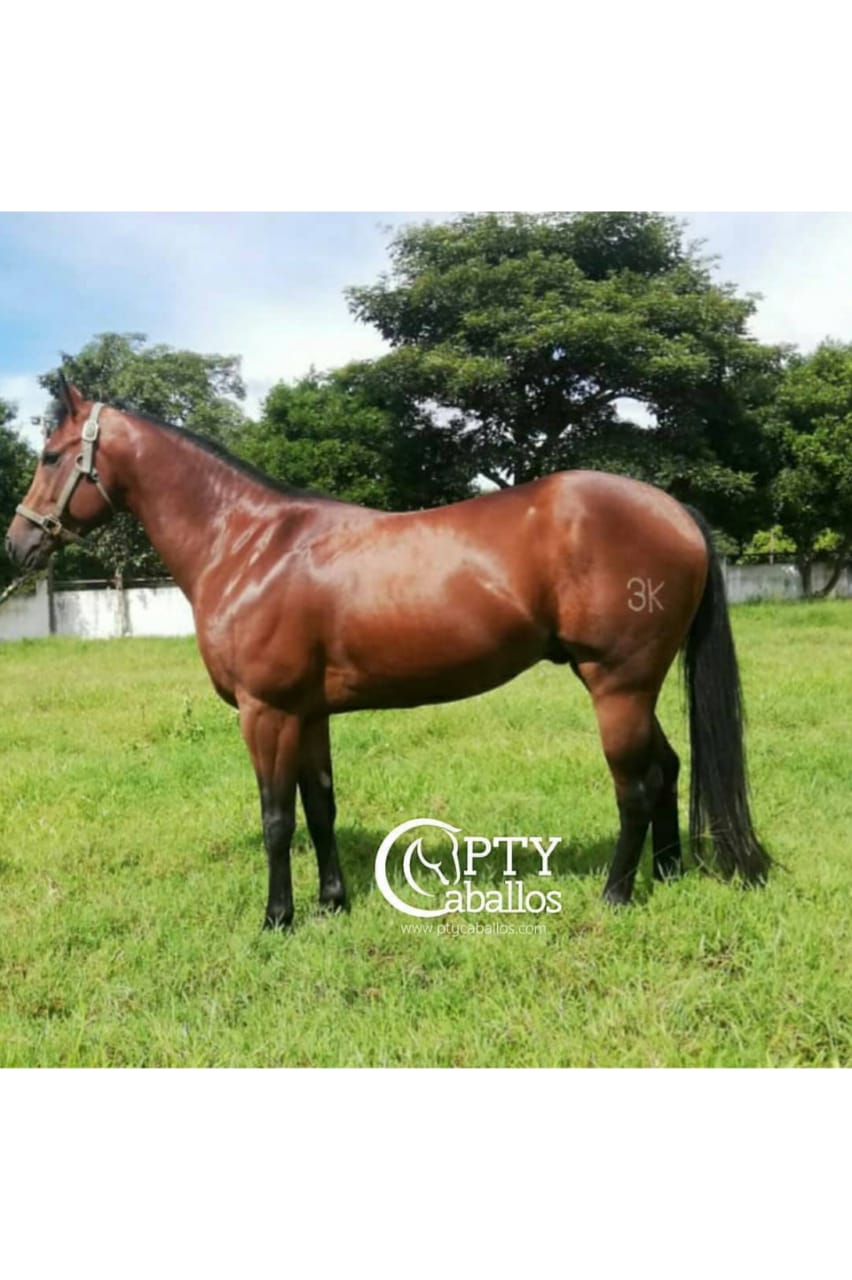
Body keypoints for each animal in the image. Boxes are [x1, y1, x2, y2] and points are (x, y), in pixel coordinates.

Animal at [5, 376, 770, 928]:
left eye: (49, 456)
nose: (18, 543)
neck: (250, 545)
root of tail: (673, 510)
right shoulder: (308, 713)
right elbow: (320, 806)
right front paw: (332, 903)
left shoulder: (266, 712)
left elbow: (276, 818)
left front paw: (277, 918)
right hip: (633, 687)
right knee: (667, 769)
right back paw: (666, 874)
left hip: (617, 686)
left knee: (635, 787)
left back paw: (615, 895)